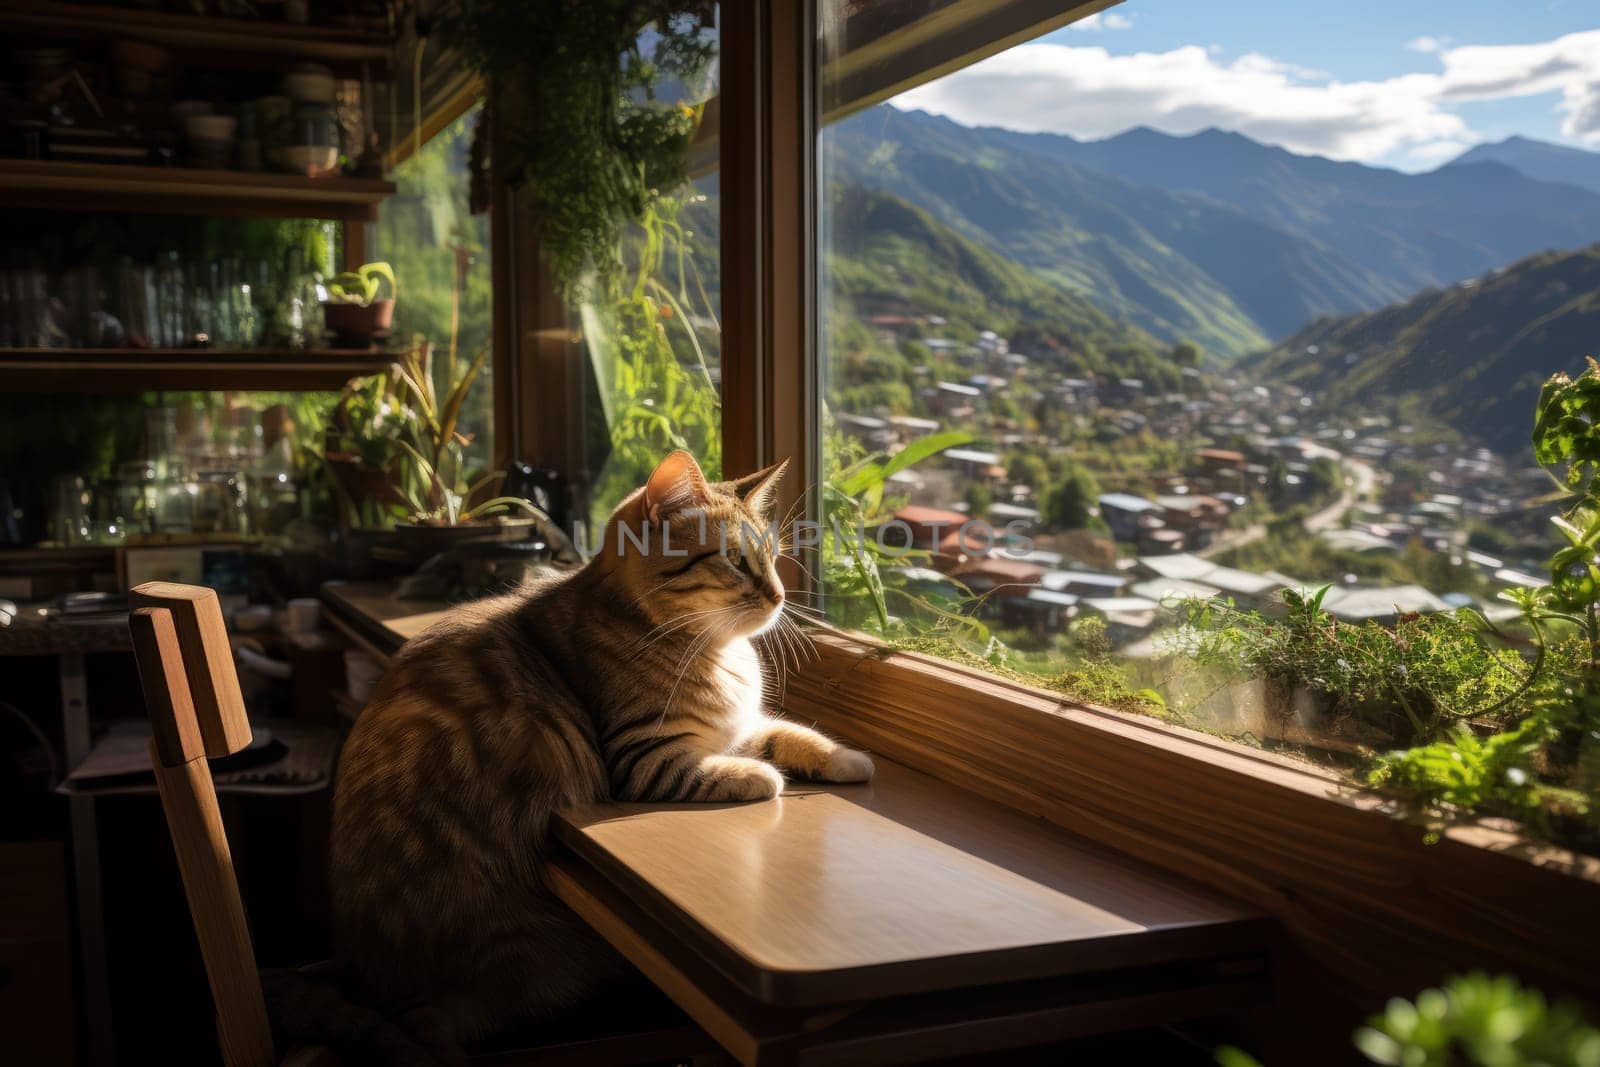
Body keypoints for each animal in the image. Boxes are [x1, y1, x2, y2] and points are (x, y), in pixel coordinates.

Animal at [328, 451, 876, 1062]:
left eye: (774, 559)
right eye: (736, 561)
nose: (781, 597)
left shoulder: (737, 729)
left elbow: (792, 735)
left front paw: (847, 760)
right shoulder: (644, 758)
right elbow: (743, 769)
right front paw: (764, 776)